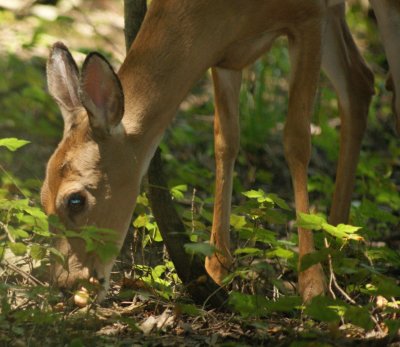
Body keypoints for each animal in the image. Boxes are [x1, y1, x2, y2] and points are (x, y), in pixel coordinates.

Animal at [41, 0, 400, 304]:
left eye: (76, 200)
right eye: (42, 199)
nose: (67, 284)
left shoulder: (309, 16)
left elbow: (296, 140)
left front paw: (312, 285)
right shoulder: (226, 56)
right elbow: (225, 141)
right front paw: (217, 266)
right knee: (360, 81)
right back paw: (338, 242)